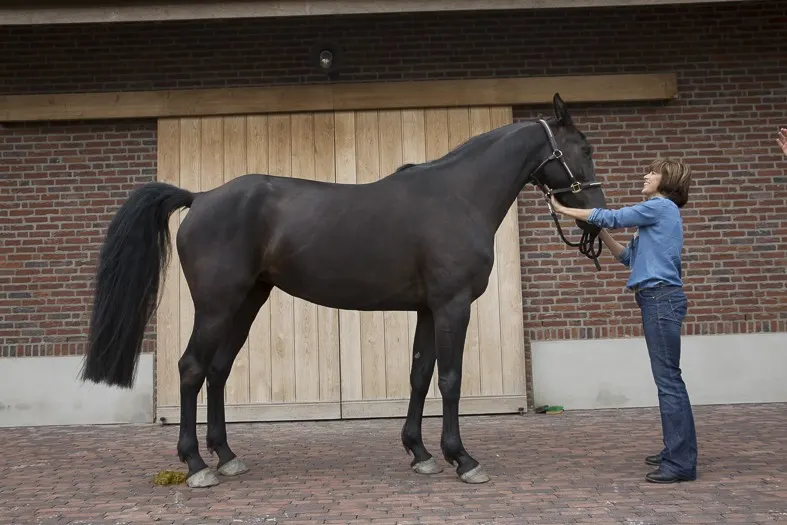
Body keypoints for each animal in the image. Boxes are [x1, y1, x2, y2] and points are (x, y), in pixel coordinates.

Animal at [80, 93, 607, 488]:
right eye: (582, 148)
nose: (596, 218)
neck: (458, 196)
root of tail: (201, 198)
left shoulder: (428, 310)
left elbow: (419, 375)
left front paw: (419, 452)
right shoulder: (452, 306)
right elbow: (451, 379)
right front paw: (462, 459)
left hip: (248, 302)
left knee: (218, 370)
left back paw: (226, 456)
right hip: (216, 305)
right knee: (191, 368)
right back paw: (195, 466)